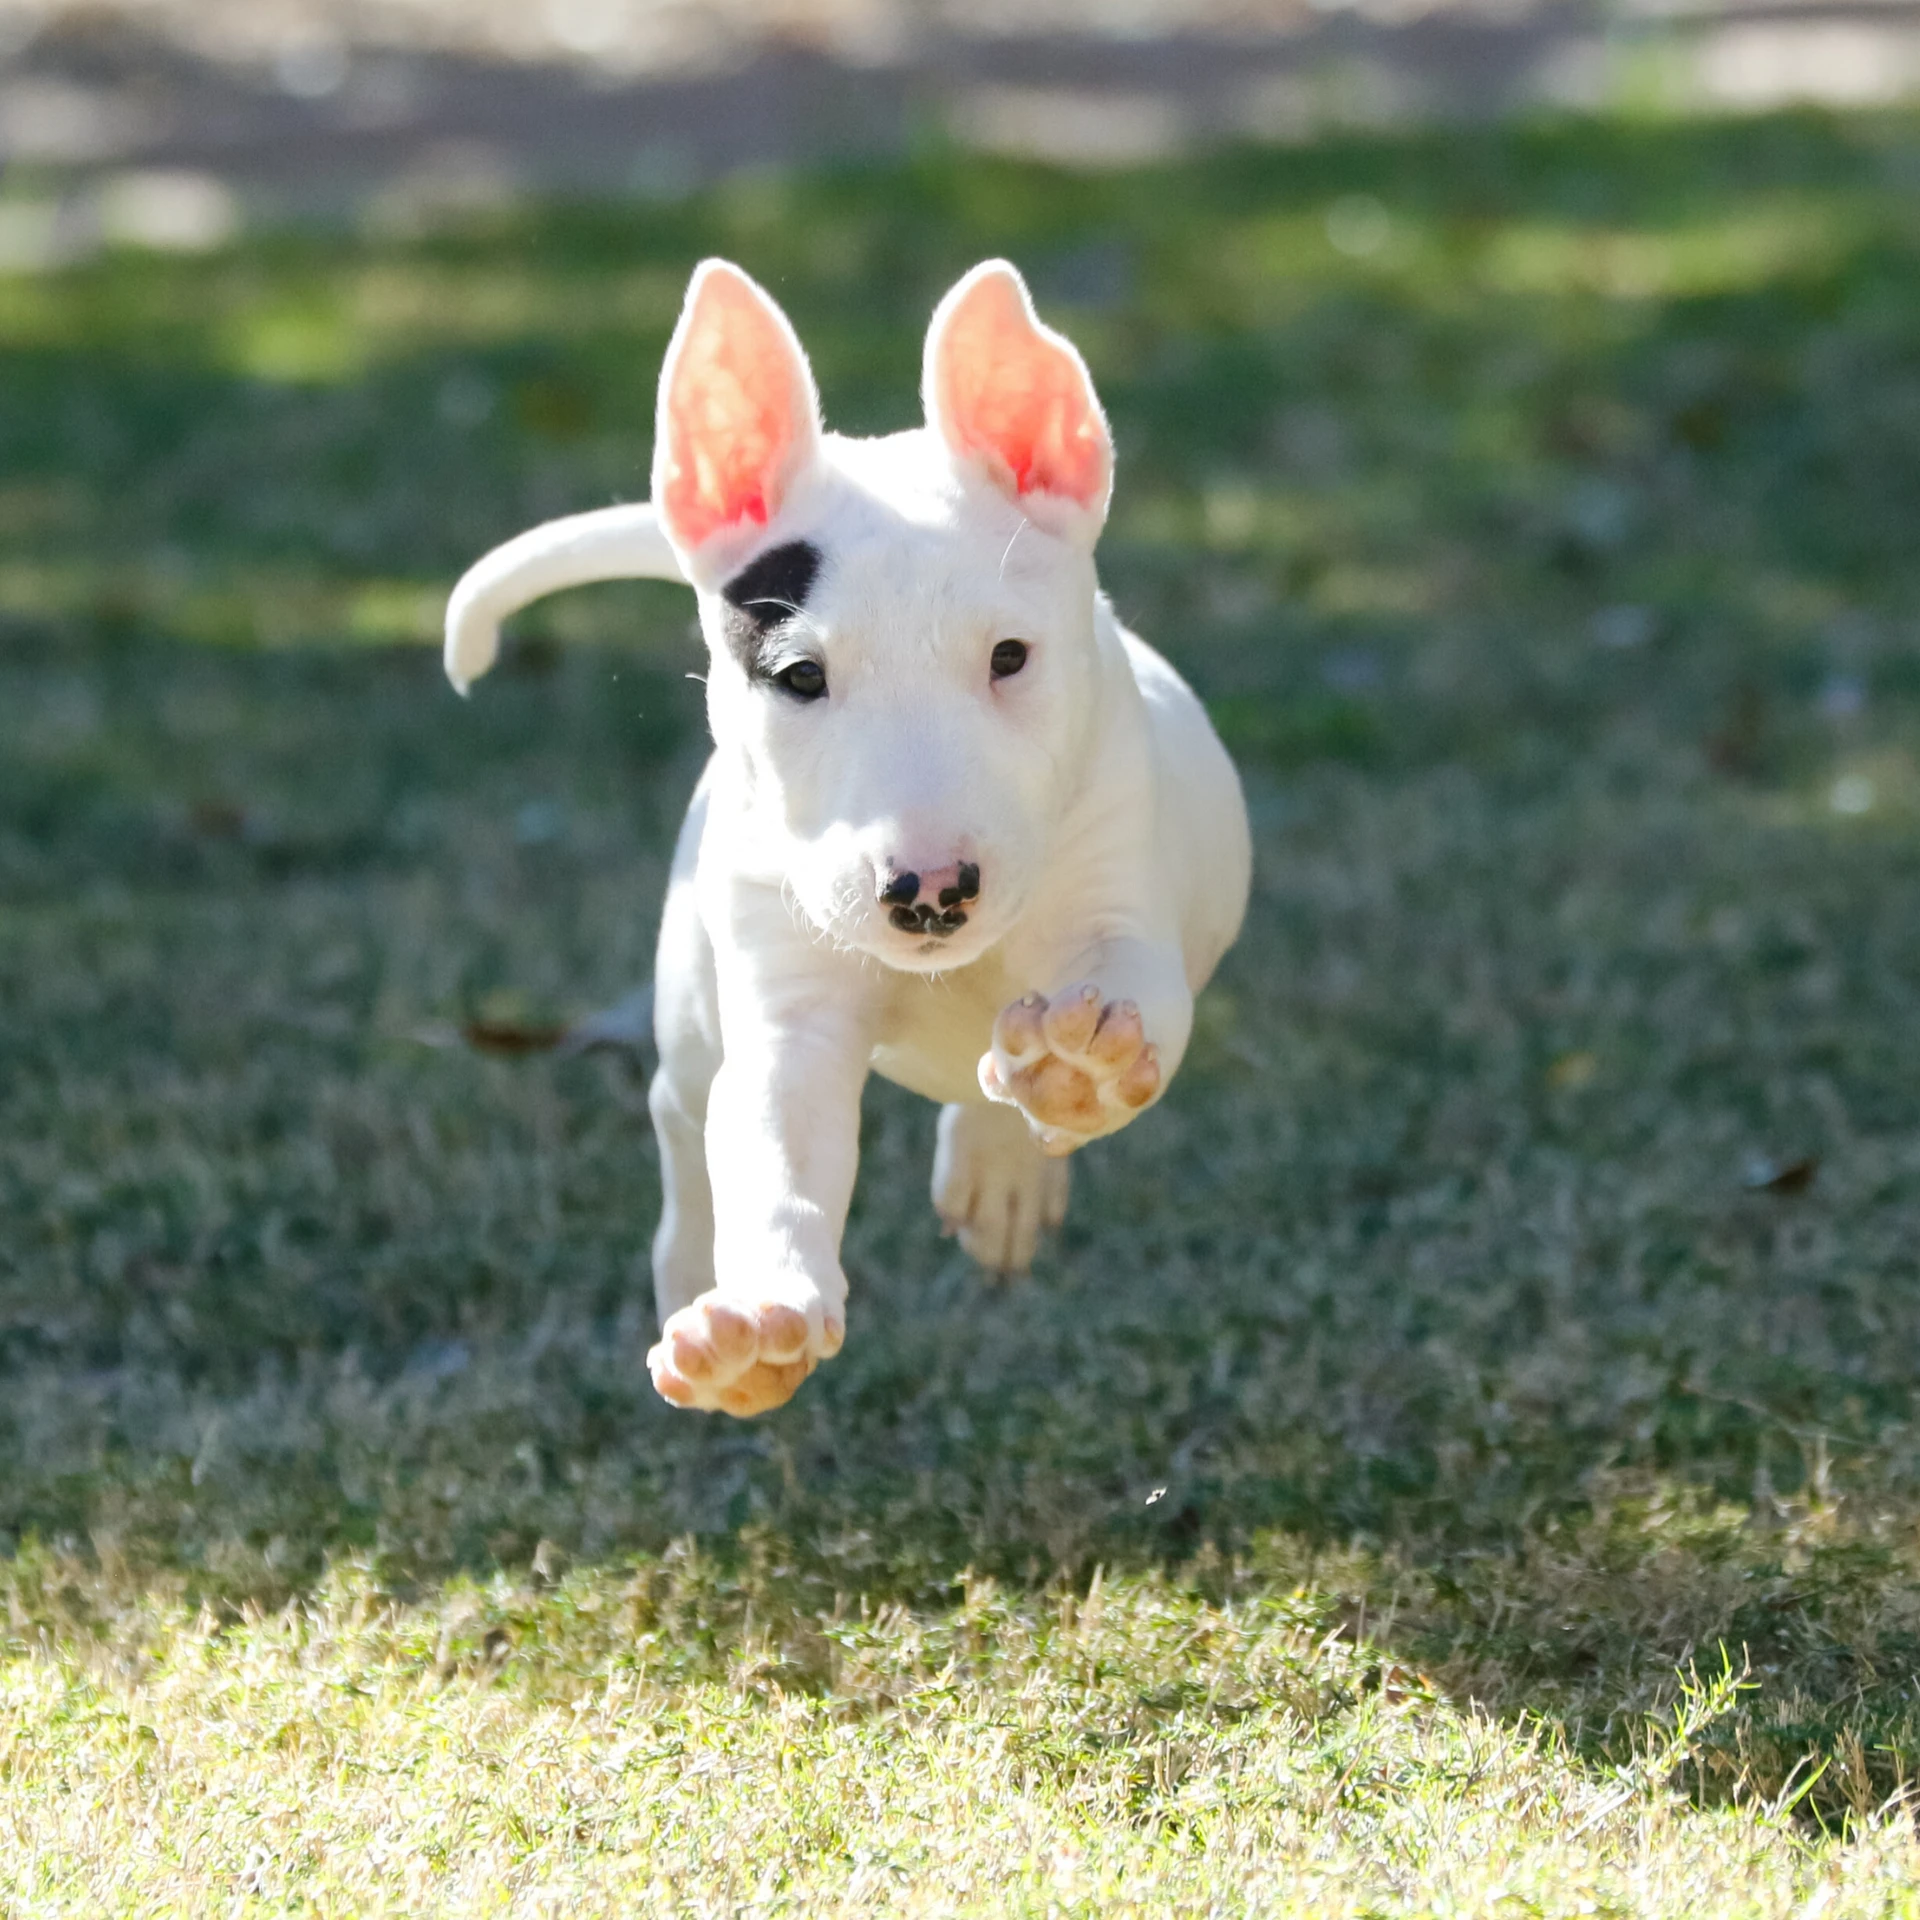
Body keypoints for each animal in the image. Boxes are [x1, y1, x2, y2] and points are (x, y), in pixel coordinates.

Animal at [451, 259, 1259, 1413]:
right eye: (798, 675)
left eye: (1010, 657)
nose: (929, 891)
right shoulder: (790, 1005)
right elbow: (775, 1139)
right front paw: (759, 1325)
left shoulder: (1117, 888)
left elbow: (1126, 991)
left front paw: (1079, 1069)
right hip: (694, 989)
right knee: (683, 1107)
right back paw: (691, 1269)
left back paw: (1006, 1161)